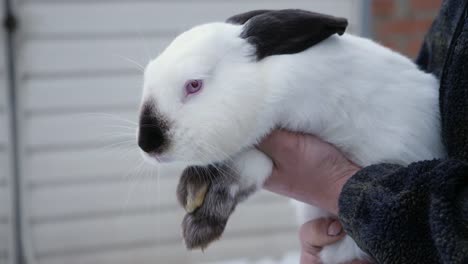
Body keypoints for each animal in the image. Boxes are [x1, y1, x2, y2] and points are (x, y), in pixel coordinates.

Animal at [136, 9, 446, 262]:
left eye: (194, 85)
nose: (147, 144)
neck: (265, 84)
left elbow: (246, 166)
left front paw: (199, 225)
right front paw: (190, 190)